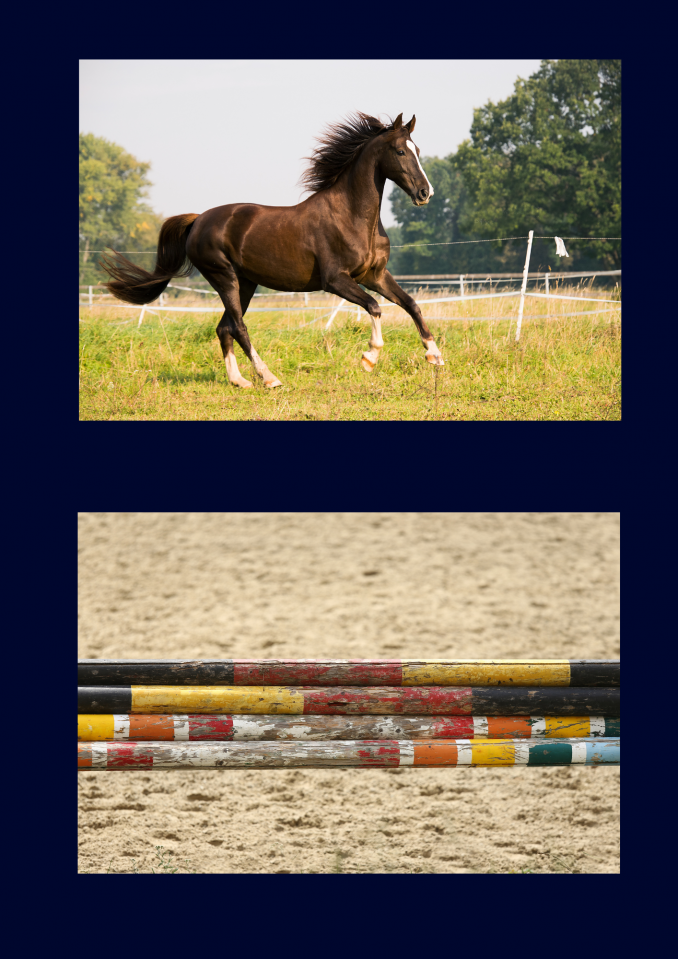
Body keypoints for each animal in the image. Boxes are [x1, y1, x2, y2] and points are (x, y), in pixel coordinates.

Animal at [100, 112, 443, 389]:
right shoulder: (336, 280)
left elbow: (411, 304)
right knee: (238, 327)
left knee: (223, 328)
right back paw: (269, 378)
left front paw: (435, 355)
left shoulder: (375, 275)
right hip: (224, 277)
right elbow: (374, 307)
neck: (352, 217)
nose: (425, 193)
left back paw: (239, 381)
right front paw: (369, 358)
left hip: (246, 283)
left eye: (417, 150)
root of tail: (198, 220)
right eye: (400, 151)